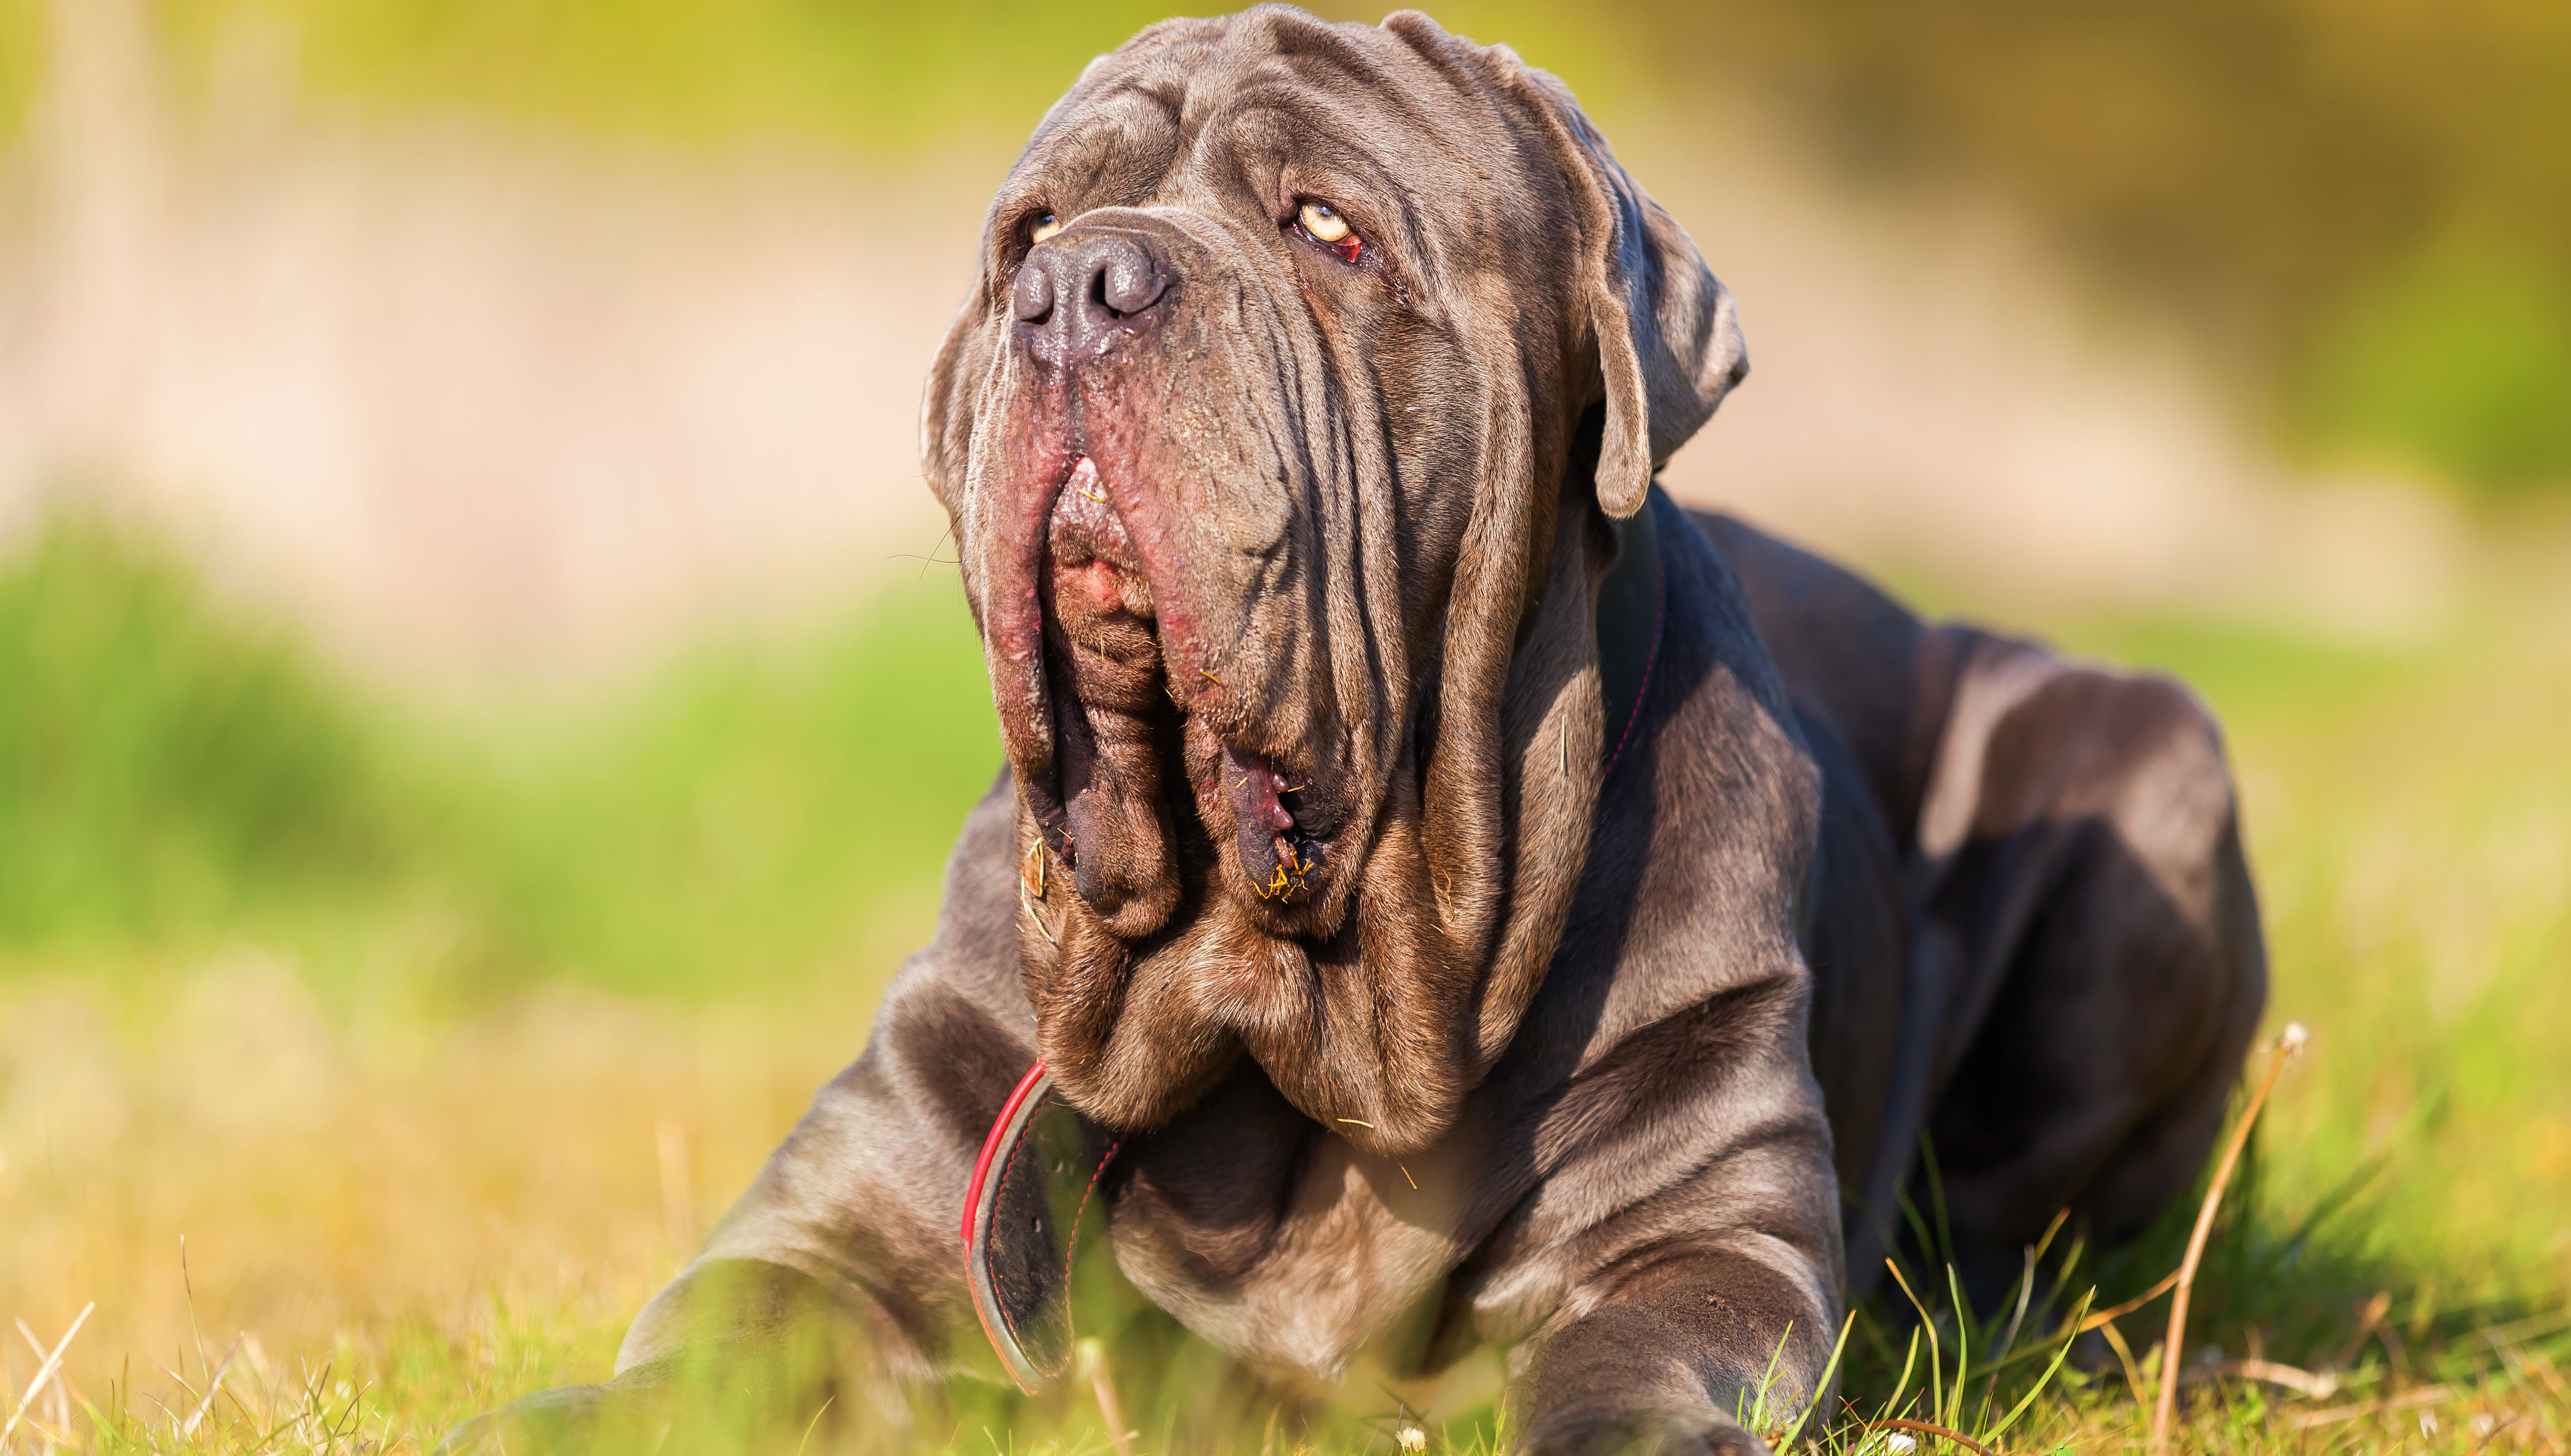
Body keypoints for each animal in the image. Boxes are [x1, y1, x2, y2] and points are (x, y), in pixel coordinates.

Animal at [447, 11, 2273, 1456]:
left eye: (1325, 227)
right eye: (1028, 227)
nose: (1078, 282)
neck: (1283, 992)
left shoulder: (1692, 1244)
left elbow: (1631, 1380)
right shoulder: (845, 1218)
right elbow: (706, 1354)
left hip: (2148, 774)